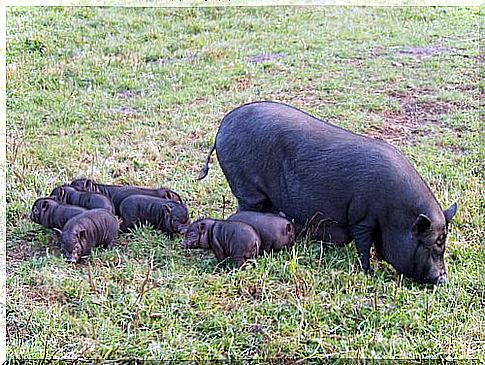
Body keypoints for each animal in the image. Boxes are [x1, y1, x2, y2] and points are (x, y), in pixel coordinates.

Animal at [198, 101, 458, 282]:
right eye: (432, 244)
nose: (443, 279)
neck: (394, 216)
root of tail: (221, 129)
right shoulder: (362, 218)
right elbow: (363, 244)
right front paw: (368, 272)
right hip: (246, 188)